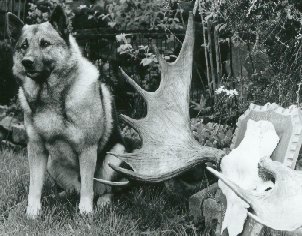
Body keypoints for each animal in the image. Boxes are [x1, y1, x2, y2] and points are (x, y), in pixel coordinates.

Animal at [5, 5, 127, 218]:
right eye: (23, 46)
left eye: (45, 43)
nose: (27, 62)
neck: (51, 96)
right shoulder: (36, 149)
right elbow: (34, 185)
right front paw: (32, 212)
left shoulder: (87, 149)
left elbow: (87, 187)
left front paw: (85, 212)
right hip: (53, 164)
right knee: (72, 190)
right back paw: (56, 197)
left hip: (115, 156)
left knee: (103, 190)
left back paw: (102, 202)